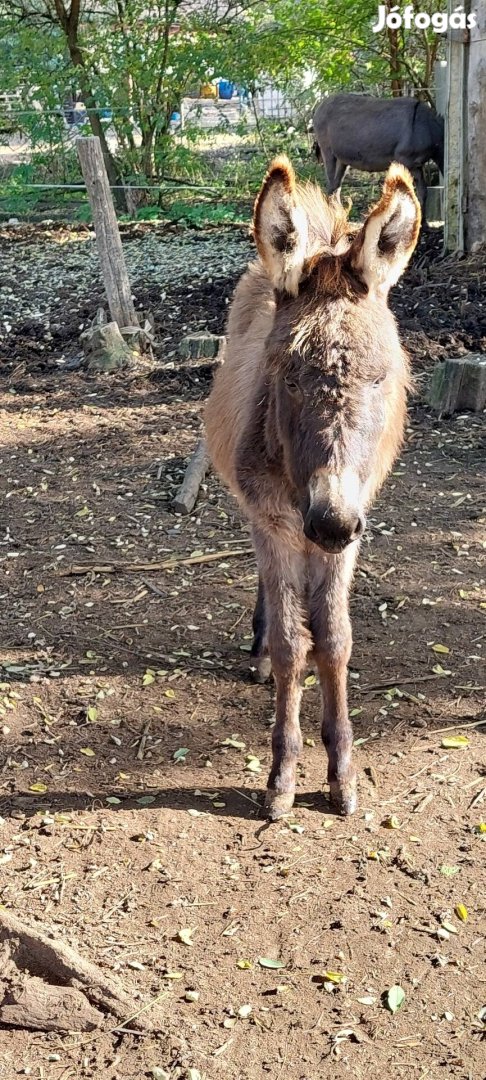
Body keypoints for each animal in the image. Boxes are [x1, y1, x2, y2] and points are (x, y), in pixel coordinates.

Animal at [205, 156, 421, 816]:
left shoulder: (352, 532)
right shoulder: (274, 523)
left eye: (379, 378)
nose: (329, 520)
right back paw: (256, 648)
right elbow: (290, 646)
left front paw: (342, 773)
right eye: (290, 377)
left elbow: (336, 642)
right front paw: (282, 776)